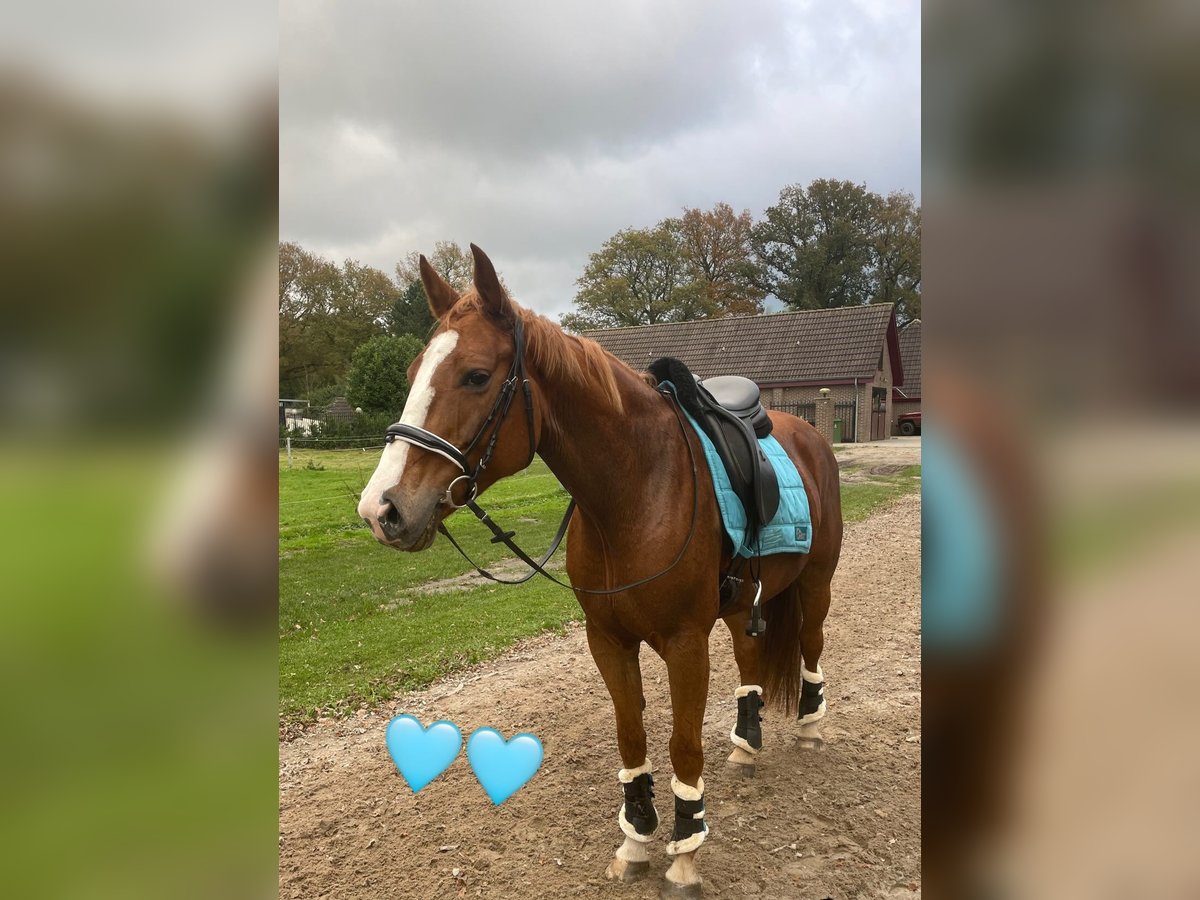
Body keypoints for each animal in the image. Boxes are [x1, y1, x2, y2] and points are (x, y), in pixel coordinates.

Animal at [357, 244, 844, 897]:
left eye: (476, 375)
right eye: (413, 374)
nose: (381, 509)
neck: (635, 488)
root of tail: (807, 432)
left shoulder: (685, 643)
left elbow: (683, 744)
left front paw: (685, 851)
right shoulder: (608, 640)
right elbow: (632, 736)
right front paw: (635, 840)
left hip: (816, 584)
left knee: (811, 644)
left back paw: (811, 727)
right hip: (745, 602)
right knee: (750, 658)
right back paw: (746, 745)